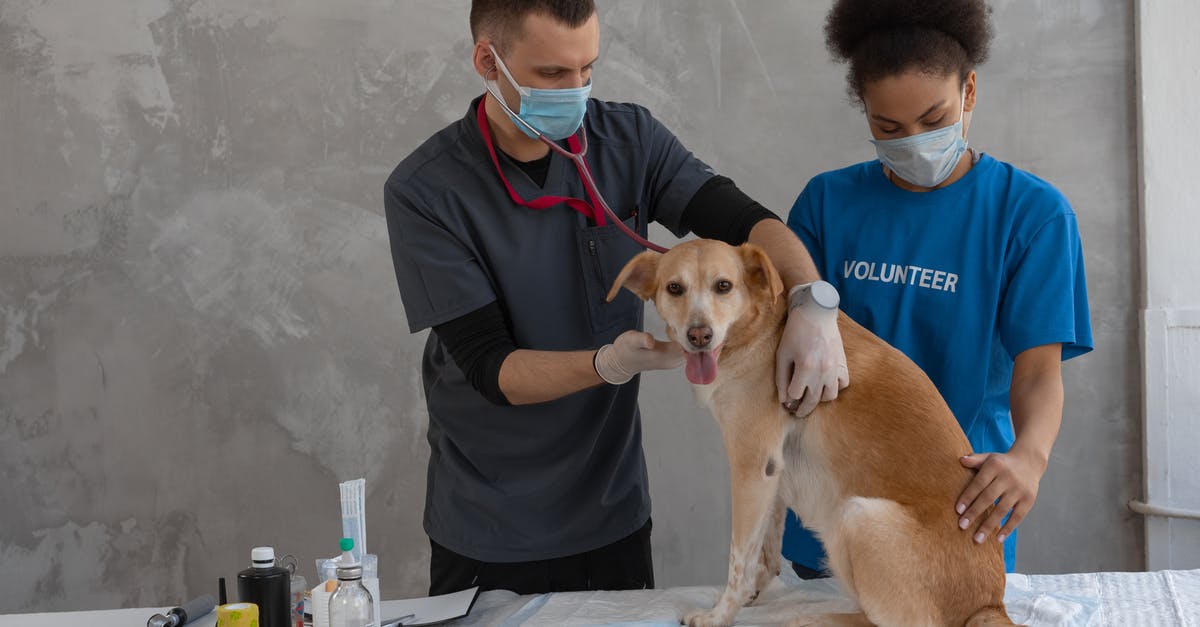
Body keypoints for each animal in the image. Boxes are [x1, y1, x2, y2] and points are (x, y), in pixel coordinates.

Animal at [604, 239, 1017, 624]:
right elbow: (763, 552)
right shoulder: (772, 472)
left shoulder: (751, 466)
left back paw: (814, 618)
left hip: (857, 516)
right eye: (674, 288)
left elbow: (738, 558)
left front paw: (719, 615)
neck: (758, 331)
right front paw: (751, 595)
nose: (699, 335)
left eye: (724, 286)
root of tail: (989, 605)